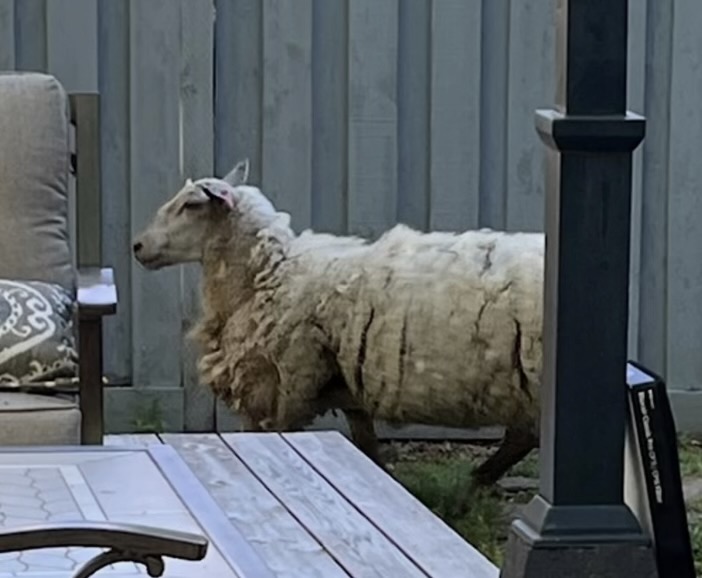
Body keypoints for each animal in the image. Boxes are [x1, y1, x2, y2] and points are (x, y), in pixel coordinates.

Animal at [132, 159, 544, 486]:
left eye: (191, 204)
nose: (137, 246)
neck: (266, 275)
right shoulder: (347, 385)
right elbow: (366, 443)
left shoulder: (282, 387)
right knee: (522, 437)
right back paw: (475, 483)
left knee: (524, 437)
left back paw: (475, 482)